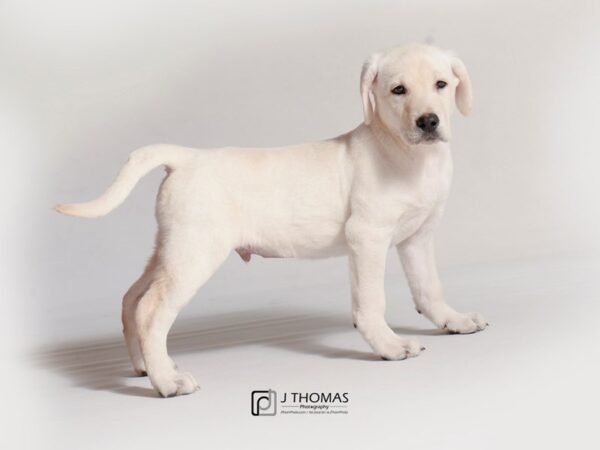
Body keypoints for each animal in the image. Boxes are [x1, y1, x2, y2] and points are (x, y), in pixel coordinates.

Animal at [55, 43, 488, 398]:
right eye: (399, 90)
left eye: (441, 84)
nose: (428, 122)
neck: (407, 156)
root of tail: (185, 157)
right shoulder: (367, 237)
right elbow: (371, 302)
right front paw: (389, 345)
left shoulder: (417, 238)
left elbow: (429, 288)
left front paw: (453, 320)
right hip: (195, 253)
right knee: (150, 310)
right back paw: (167, 381)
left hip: (171, 247)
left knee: (131, 298)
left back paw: (145, 366)